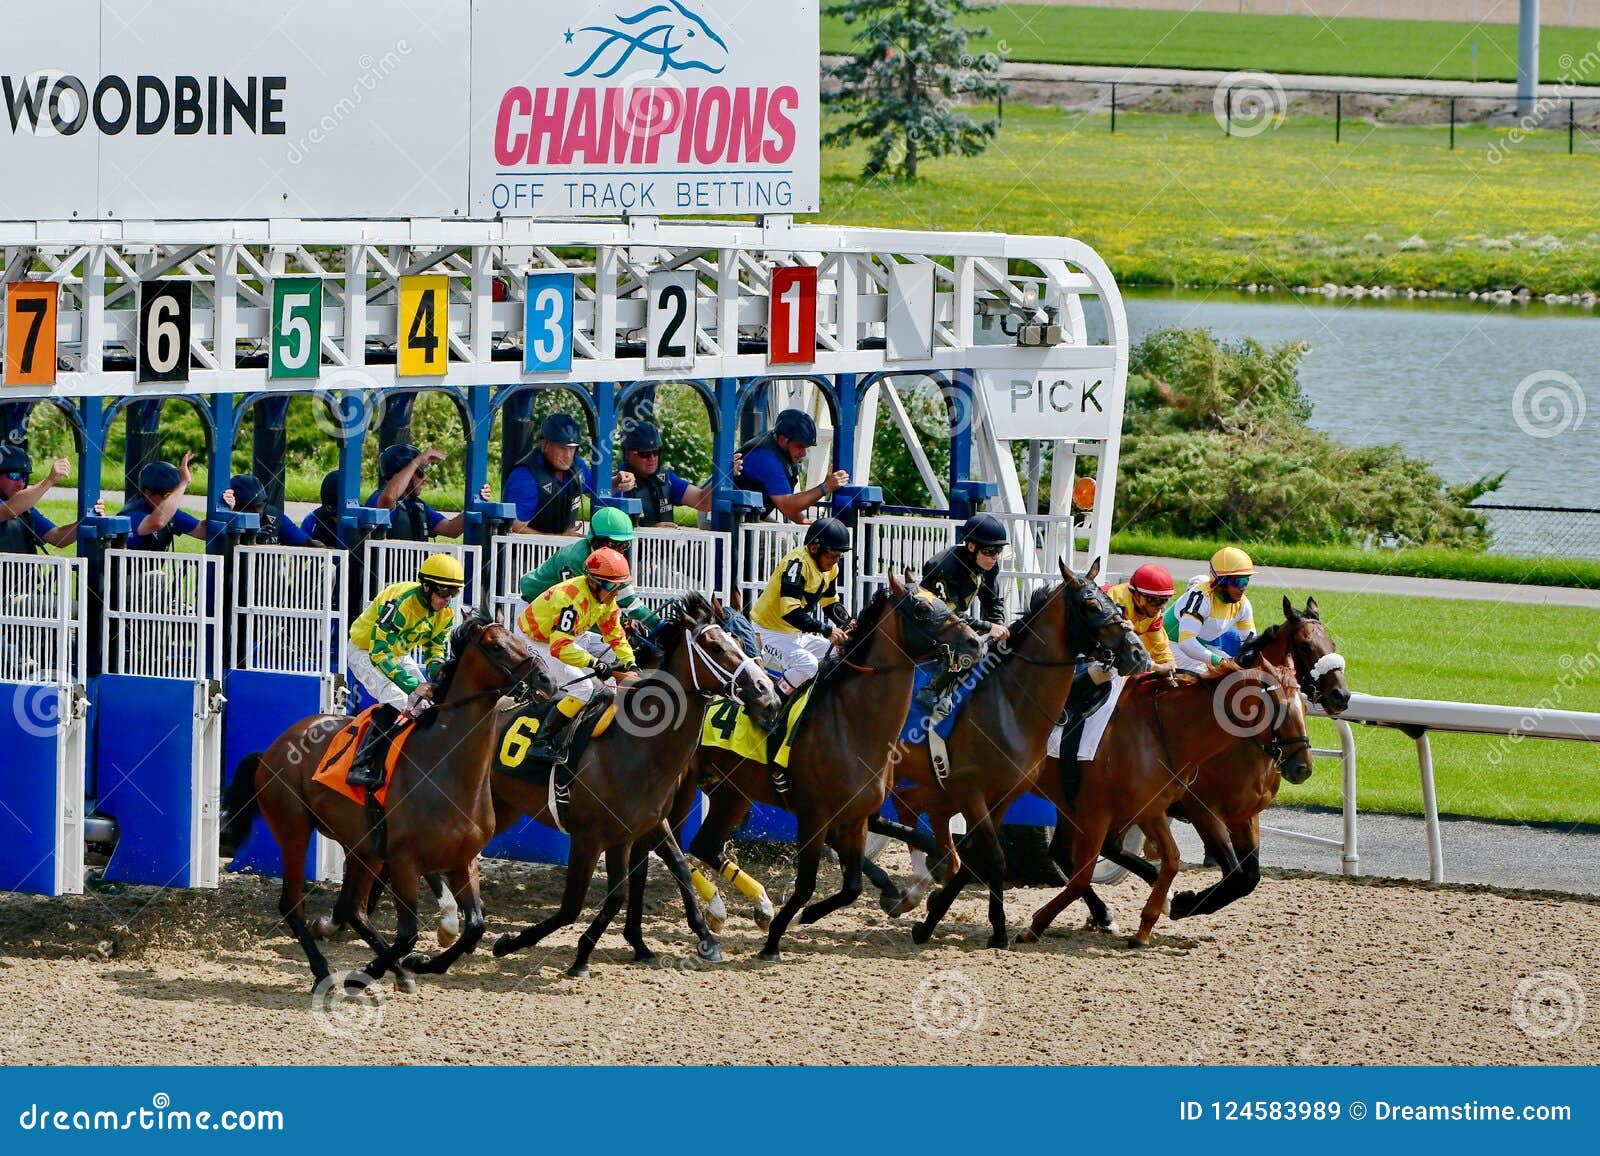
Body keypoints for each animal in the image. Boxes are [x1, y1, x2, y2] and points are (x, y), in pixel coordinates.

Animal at [222, 618, 553, 986]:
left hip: (362, 847)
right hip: (293, 829)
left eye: (520, 641)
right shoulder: (405, 862)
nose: (546, 680)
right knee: (293, 904)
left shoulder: (462, 860)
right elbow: (408, 934)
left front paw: (423, 964)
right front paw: (370, 972)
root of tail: (271, 750)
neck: (444, 765)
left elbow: (475, 927)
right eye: (496, 646)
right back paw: (324, 971)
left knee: (353, 908)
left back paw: (396, 971)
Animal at [489, 589, 784, 979]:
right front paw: (516, 944)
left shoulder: (643, 825)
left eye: (741, 639)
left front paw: (696, 938)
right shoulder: (589, 835)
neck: (635, 745)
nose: (769, 696)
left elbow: (663, 872)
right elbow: (576, 904)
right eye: (715, 646)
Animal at [684, 566, 985, 954]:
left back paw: (745, 907)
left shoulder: (855, 818)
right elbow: (807, 885)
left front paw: (797, 918)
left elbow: (852, 887)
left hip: (732, 793)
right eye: (920, 608)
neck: (851, 723)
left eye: (941, 599)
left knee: (703, 844)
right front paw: (775, 938)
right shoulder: (814, 816)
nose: (975, 642)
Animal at [889, 557, 1152, 947]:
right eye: (1091, 605)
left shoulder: (1001, 795)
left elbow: (978, 857)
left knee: (912, 810)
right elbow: (993, 858)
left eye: (1118, 607)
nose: (1138, 654)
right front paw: (996, 930)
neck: (1011, 704)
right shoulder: (972, 791)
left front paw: (931, 919)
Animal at [1024, 656, 1312, 947]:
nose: (1303, 768)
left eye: (1304, 706)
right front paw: (1184, 903)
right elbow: (1234, 874)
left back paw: (1108, 913)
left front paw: (1173, 904)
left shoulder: (1242, 815)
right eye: (1282, 709)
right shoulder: (1199, 810)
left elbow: (1246, 877)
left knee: (1072, 851)